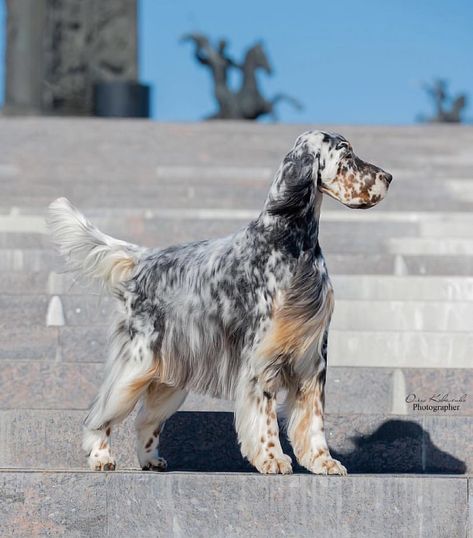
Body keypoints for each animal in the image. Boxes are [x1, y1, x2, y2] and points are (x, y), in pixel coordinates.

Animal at [47, 130, 390, 474]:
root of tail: (144, 258)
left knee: (146, 420)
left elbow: (314, 420)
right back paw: (101, 456)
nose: (388, 177)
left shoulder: (312, 356)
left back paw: (151, 460)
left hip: (171, 373)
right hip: (136, 362)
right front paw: (273, 458)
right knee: (100, 414)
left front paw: (324, 461)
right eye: (346, 157)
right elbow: (265, 418)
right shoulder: (261, 357)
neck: (292, 243)